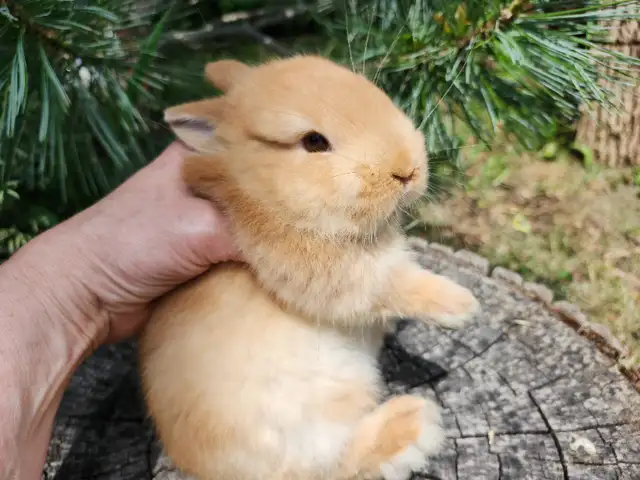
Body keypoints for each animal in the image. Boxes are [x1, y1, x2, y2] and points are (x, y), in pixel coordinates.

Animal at [139, 55, 480, 480]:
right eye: (314, 142)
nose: (408, 170)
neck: (265, 191)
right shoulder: (325, 271)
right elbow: (392, 283)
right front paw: (463, 306)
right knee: (334, 464)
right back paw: (416, 424)